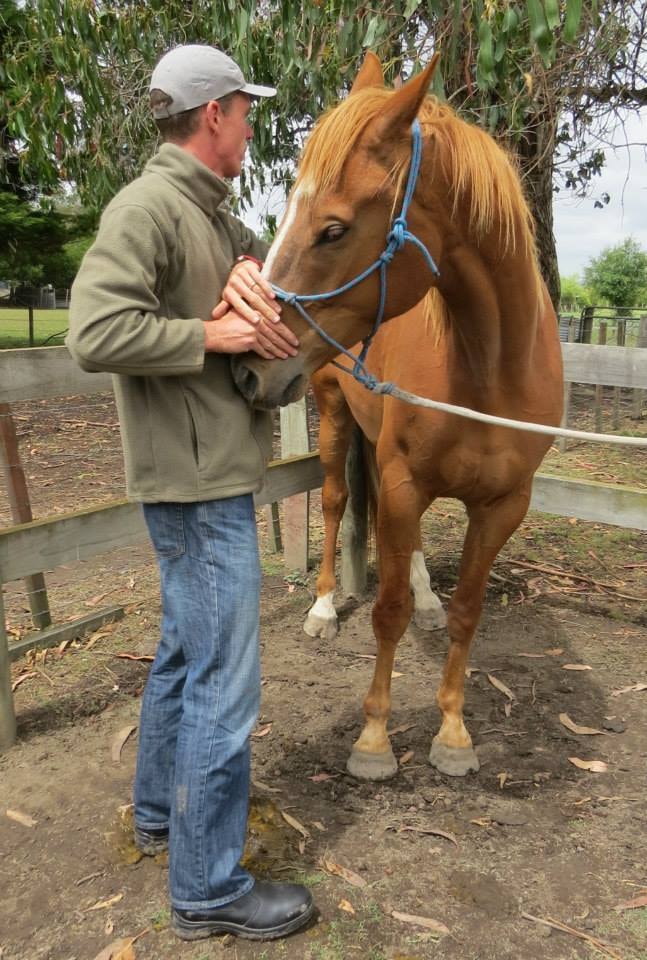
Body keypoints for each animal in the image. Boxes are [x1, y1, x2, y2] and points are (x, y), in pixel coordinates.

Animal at [231, 52, 563, 779]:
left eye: (333, 229)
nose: (247, 368)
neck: (488, 367)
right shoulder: (404, 479)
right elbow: (385, 612)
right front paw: (375, 739)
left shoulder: (503, 505)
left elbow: (468, 612)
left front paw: (454, 731)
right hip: (334, 416)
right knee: (333, 503)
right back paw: (324, 606)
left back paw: (425, 599)